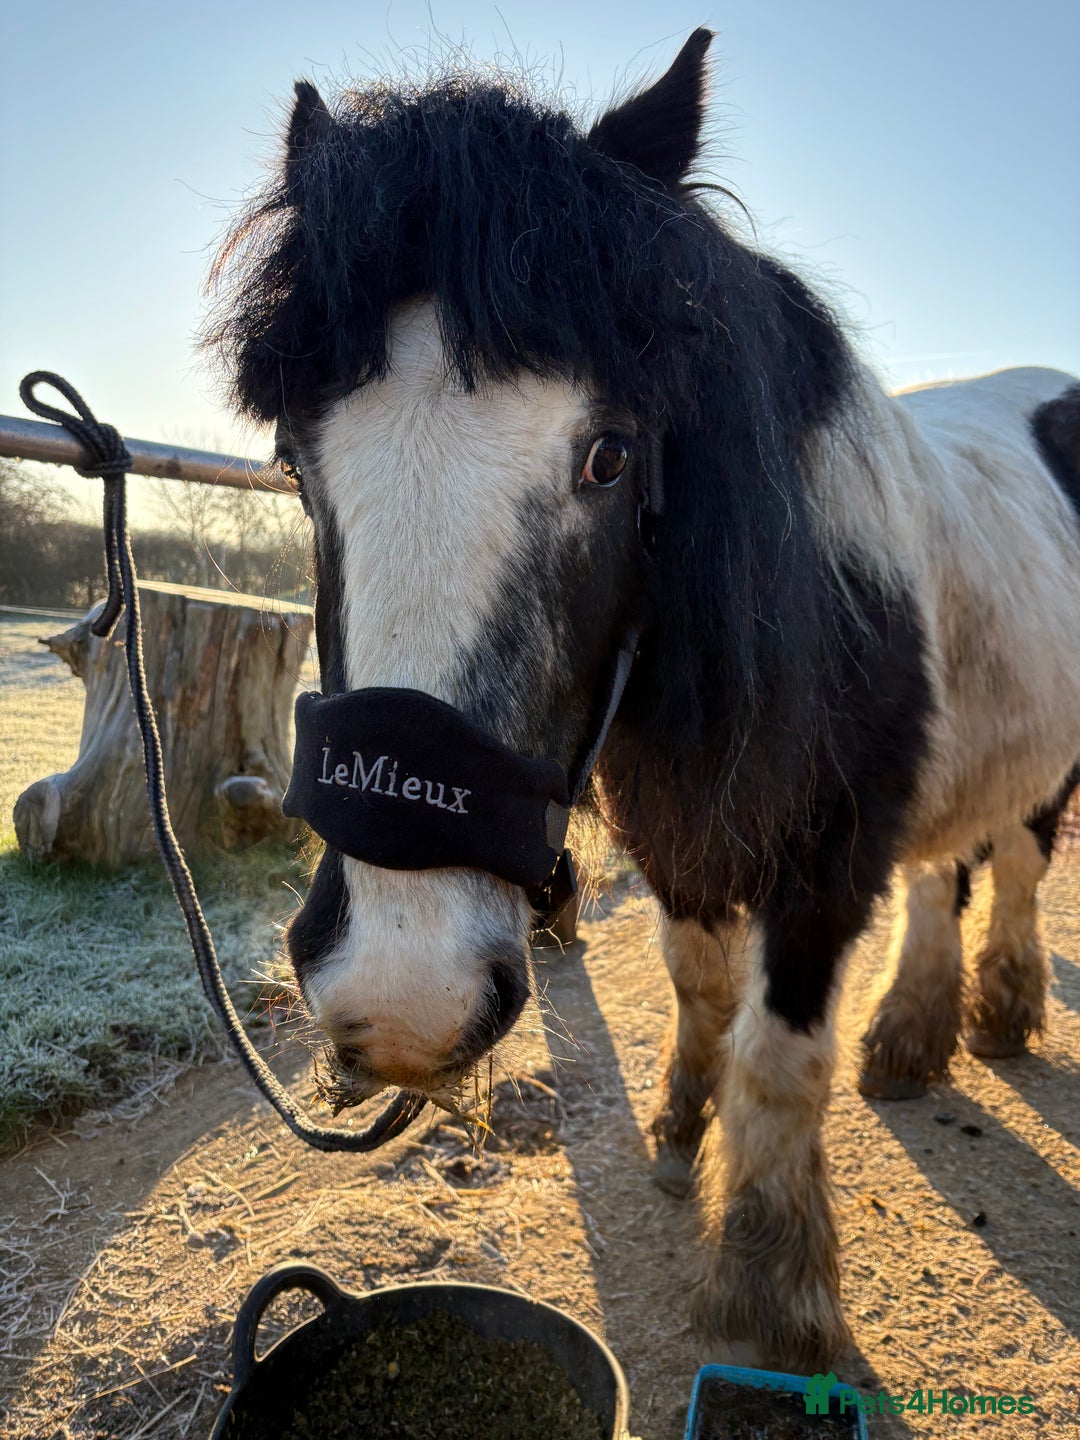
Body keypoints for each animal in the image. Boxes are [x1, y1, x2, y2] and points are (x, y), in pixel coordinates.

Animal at [206, 29, 1080, 1369]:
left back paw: (1000, 1012)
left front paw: (769, 1283)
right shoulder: (680, 828)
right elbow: (700, 983)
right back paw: (912, 1038)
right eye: (294, 465)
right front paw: (679, 1131)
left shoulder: (826, 858)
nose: (402, 1000)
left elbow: (781, 1049)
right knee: (947, 870)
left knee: (1019, 861)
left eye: (610, 456)